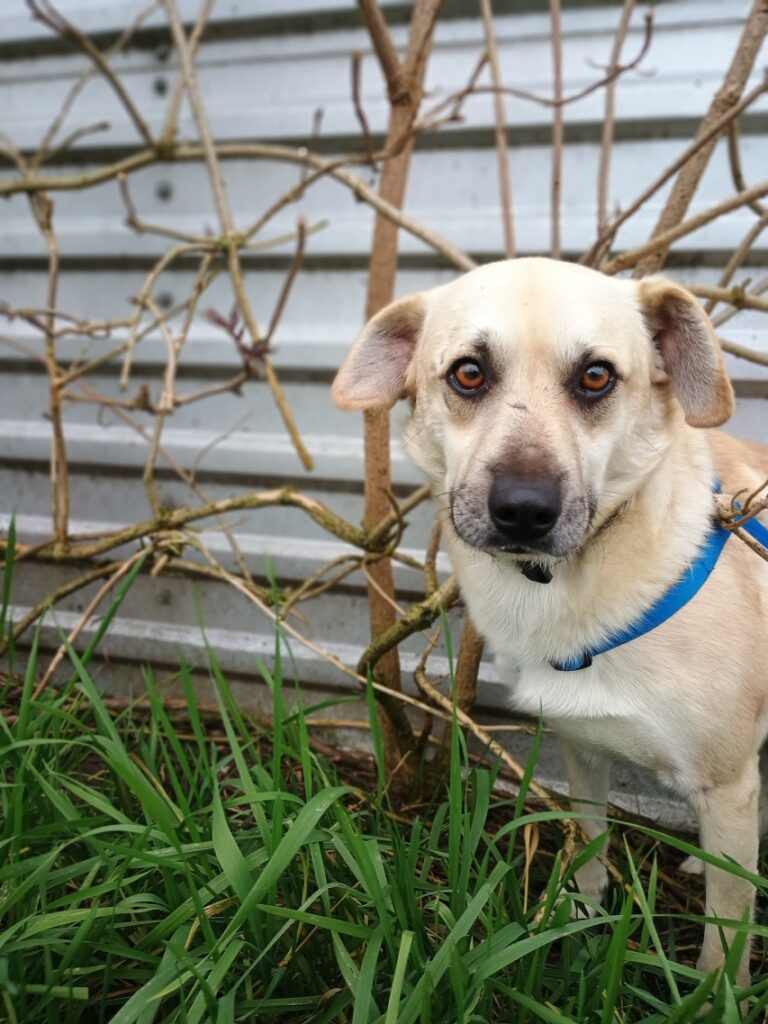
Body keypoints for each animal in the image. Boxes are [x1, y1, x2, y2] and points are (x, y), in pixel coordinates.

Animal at [333, 258, 768, 983]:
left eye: (595, 376)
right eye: (468, 373)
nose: (523, 510)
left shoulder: (727, 783)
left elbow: (723, 942)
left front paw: (713, 998)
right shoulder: (581, 748)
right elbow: (590, 844)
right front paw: (574, 920)